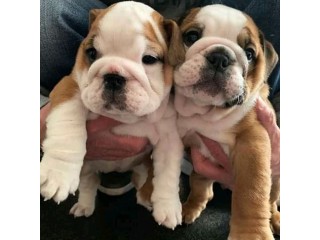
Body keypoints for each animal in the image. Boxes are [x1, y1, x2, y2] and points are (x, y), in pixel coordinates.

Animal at [39, 1, 184, 229]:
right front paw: (58, 173)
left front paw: (168, 205)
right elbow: (67, 124)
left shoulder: (170, 137)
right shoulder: (68, 86)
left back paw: (146, 197)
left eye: (149, 59)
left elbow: (168, 174)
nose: (114, 77)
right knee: (89, 183)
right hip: (88, 168)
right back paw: (84, 206)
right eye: (91, 52)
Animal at [172, 4, 280, 240]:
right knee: (202, 188)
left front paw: (251, 234)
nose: (220, 57)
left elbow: (251, 189)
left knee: (271, 201)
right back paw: (190, 207)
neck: (208, 112)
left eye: (249, 54)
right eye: (191, 37)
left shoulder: (252, 140)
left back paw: (275, 219)